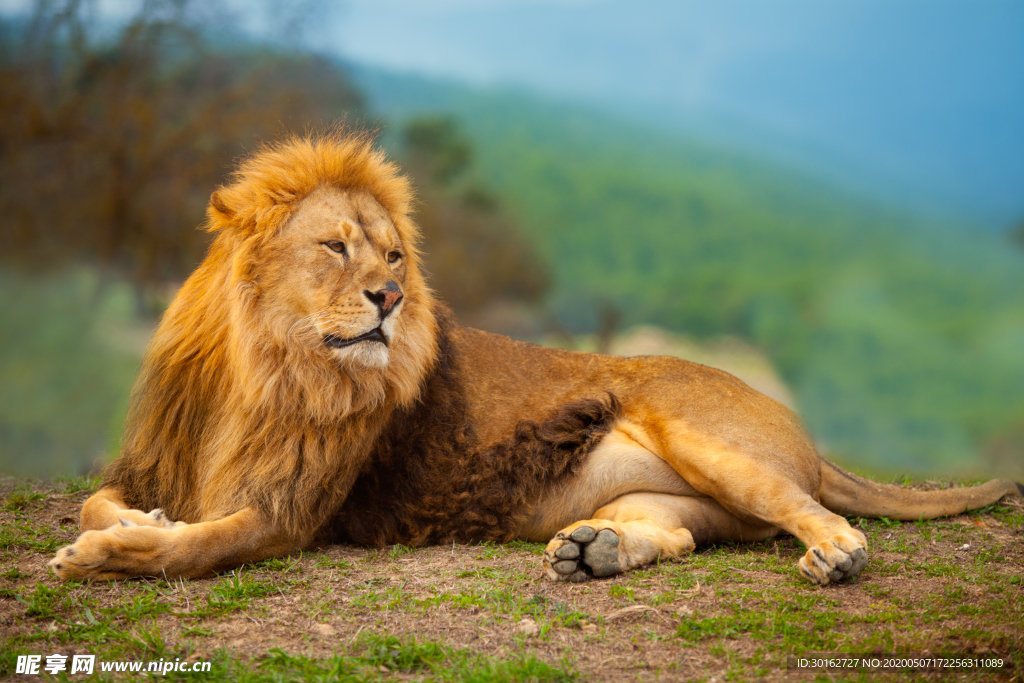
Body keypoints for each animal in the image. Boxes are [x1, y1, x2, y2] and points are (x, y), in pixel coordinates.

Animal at [49, 132, 1024, 589]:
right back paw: (593, 551)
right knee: (682, 529)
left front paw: (109, 553)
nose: (389, 298)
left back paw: (836, 557)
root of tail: (804, 431)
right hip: (680, 495)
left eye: (393, 255)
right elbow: (105, 499)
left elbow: (194, 547)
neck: (263, 366)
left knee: (815, 511)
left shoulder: (292, 511)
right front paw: (132, 521)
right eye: (334, 246)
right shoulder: (154, 458)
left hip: (706, 436)